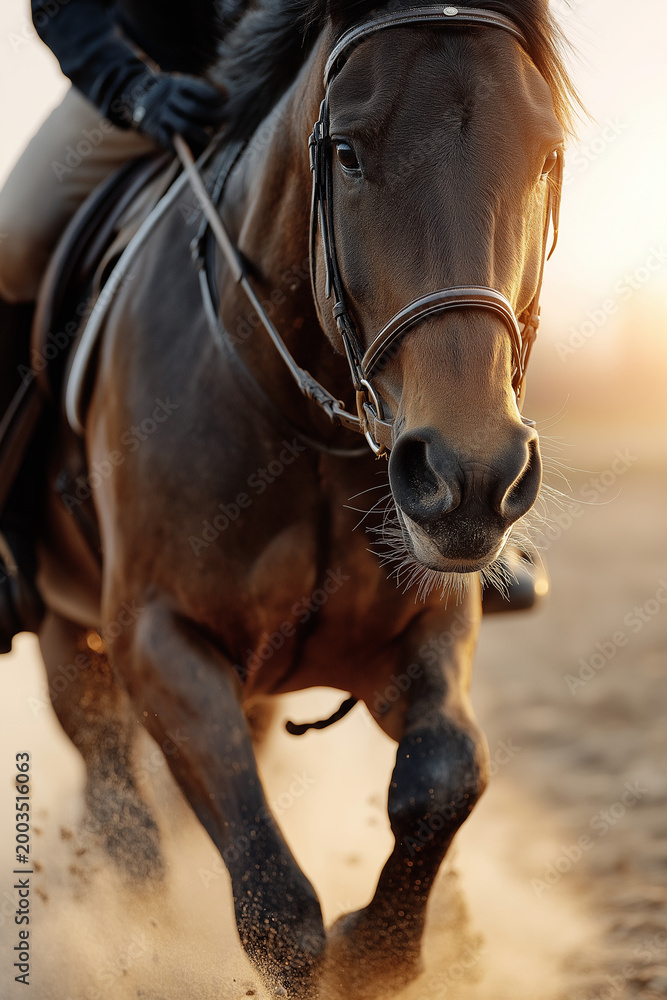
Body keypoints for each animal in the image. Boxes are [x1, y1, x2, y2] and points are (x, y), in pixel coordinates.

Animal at [33, 0, 575, 996]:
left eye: (543, 152)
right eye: (348, 152)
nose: (470, 474)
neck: (292, 411)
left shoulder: (427, 624)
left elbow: (447, 776)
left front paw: (381, 944)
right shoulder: (157, 639)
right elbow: (275, 906)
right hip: (67, 638)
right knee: (120, 811)